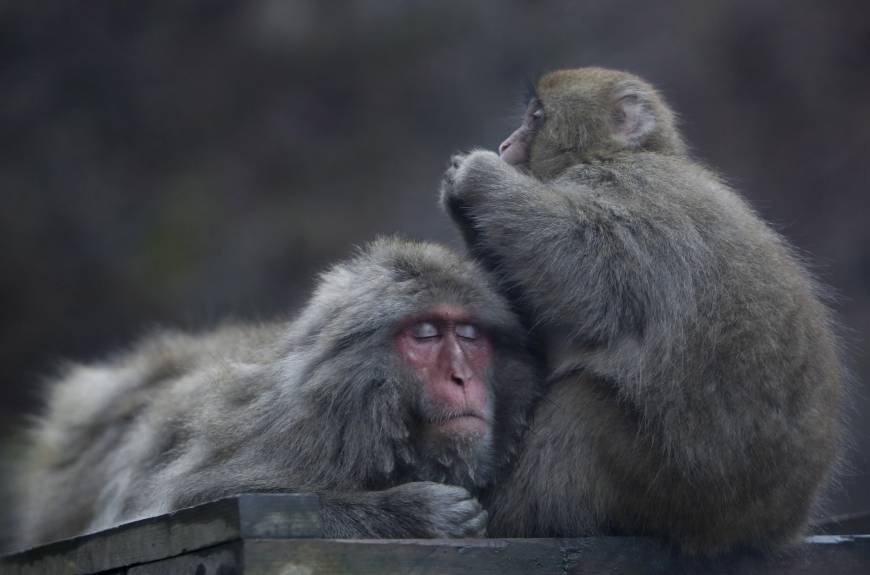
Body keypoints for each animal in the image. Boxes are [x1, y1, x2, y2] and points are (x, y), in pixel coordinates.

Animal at [13, 237, 540, 548]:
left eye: (468, 335)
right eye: (427, 333)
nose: (461, 378)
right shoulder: (308, 434)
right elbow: (209, 502)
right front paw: (412, 513)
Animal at [442, 68, 844, 560]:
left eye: (536, 116)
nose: (505, 144)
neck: (624, 154)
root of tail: (766, 526)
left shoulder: (625, 191)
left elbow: (589, 282)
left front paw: (480, 177)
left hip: (676, 487)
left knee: (581, 408)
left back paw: (511, 518)